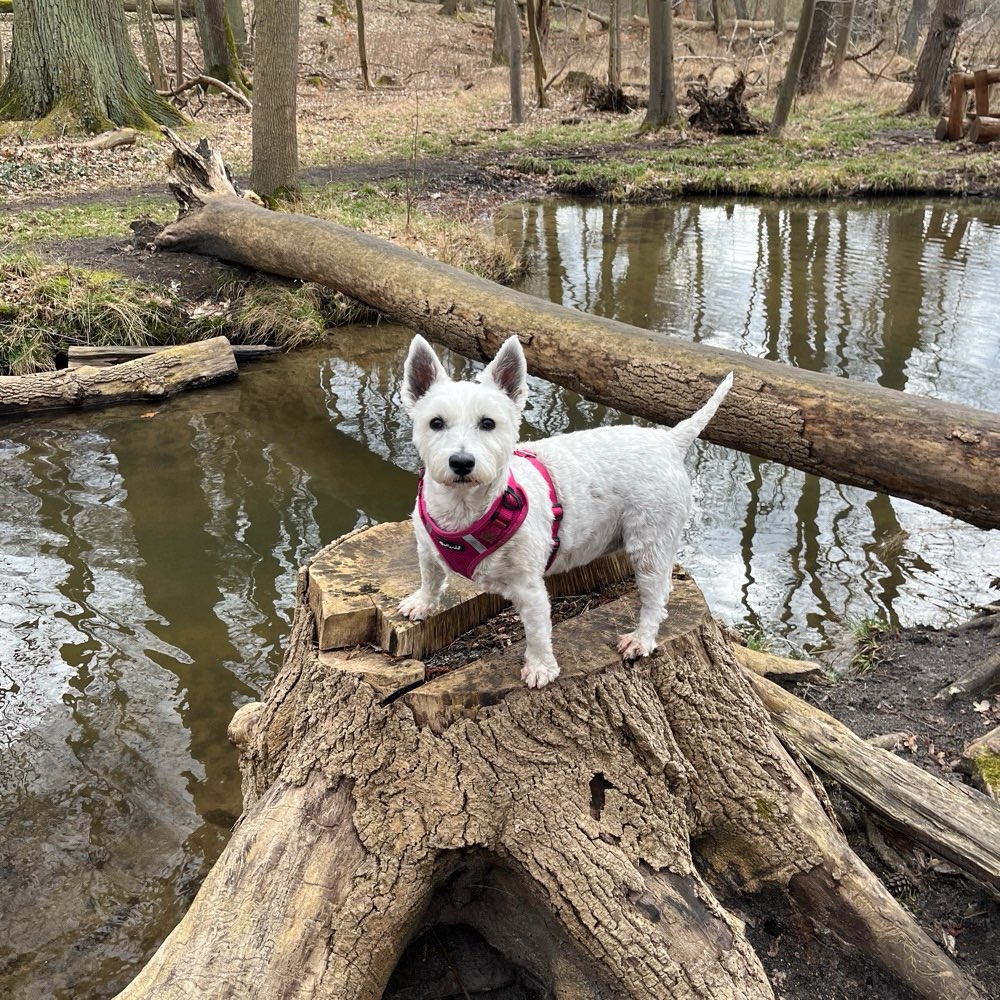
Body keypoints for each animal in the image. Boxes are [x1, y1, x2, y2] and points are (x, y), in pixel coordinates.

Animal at [398, 336, 736, 688]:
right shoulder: (426, 545)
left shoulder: (528, 585)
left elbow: (536, 630)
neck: (466, 508)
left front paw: (539, 668)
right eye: (436, 422)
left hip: (649, 540)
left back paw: (640, 639)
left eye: (488, 423)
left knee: (653, 594)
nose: (462, 462)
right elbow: (431, 575)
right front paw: (421, 603)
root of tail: (669, 440)